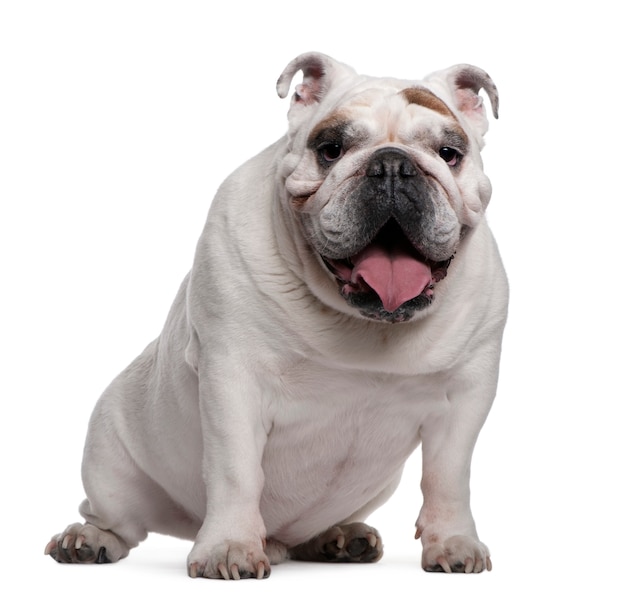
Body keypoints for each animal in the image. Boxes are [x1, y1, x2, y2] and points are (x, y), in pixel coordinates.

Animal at [47, 54, 508, 580]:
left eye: (449, 153)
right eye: (330, 150)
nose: (392, 165)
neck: (364, 323)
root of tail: (280, 539)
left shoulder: (466, 397)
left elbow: (448, 477)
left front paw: (454, 541)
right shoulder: (232, 381)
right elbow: (236, 471)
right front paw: (228, 548)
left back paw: (339, 537)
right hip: (110, 459)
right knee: (117, 519)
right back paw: (88, 539)